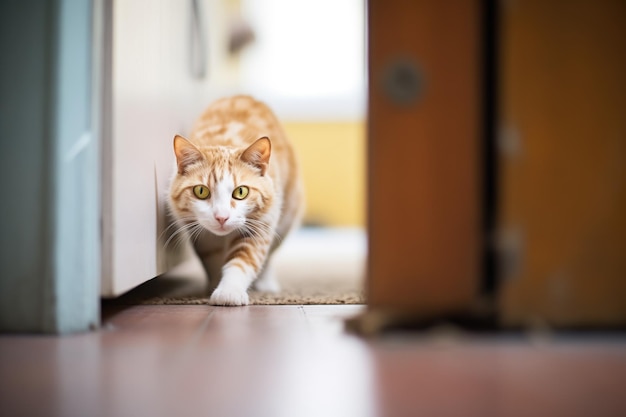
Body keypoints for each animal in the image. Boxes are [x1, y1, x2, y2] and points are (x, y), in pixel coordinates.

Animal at [166, 96, 302, 306]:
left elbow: (243, 260)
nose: (222, 217)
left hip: (287, 215)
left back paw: (266, 283)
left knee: (270, 254)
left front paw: (229, 291)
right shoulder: (203, 236)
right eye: (201, 191)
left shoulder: (259, 226)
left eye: (241, 192)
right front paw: (213, 285)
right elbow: (213, 261)